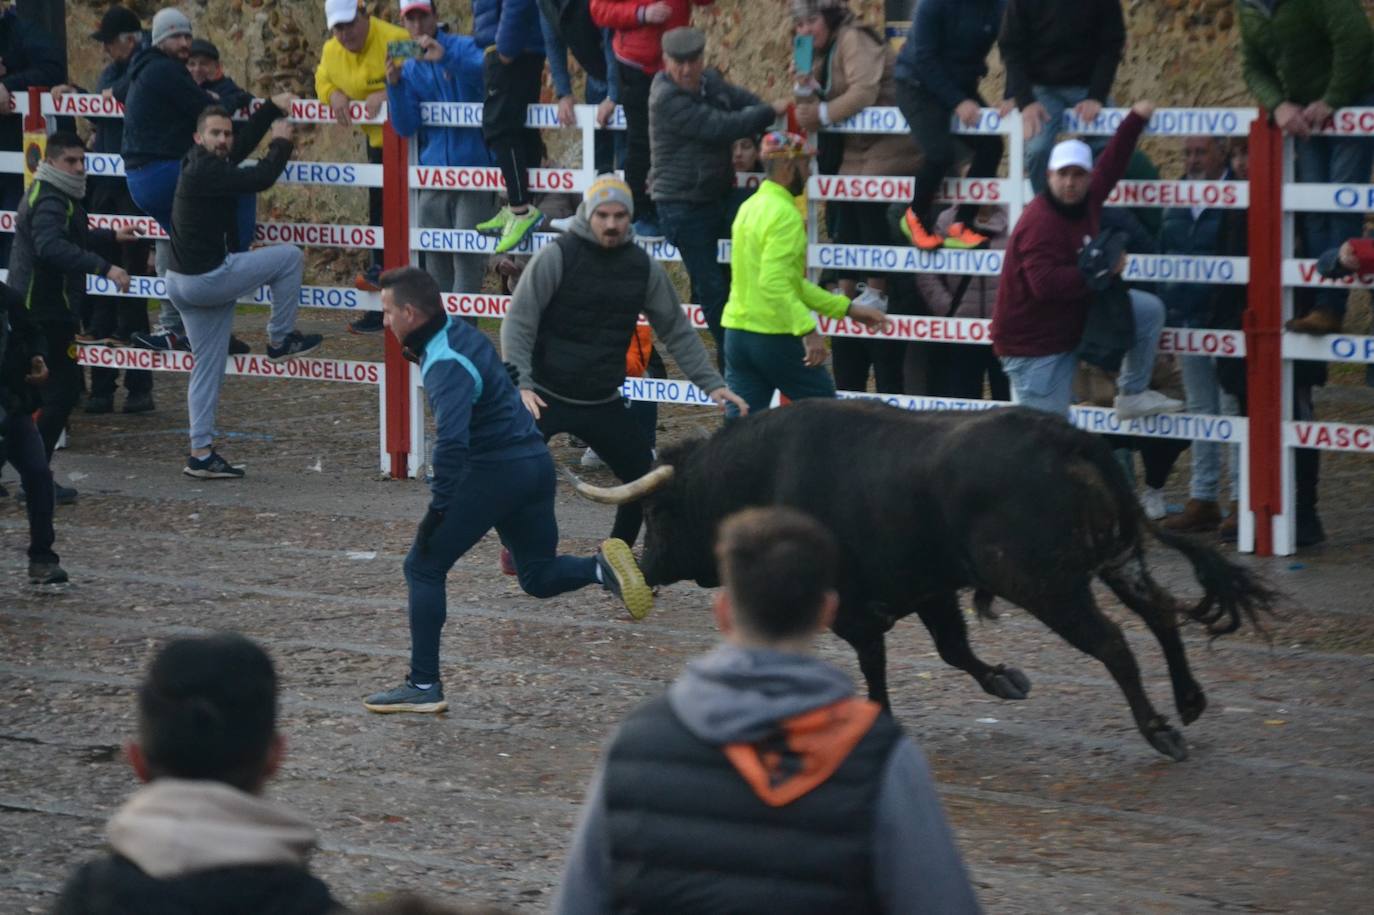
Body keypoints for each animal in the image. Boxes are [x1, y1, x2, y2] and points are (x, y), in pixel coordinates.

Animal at [571, 395, 1275, 758]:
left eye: (659, 514)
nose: (645, 569)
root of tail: (1069, 438)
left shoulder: (852, 607)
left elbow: (877, 666)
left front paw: (877, 720)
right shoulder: (933, 589)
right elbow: (954, 649)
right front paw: (1006, 679)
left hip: (1047, 584)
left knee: (1113, 642)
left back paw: (1159, 730)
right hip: (1116, 558)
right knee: (1159, 612)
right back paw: (1189, 701)